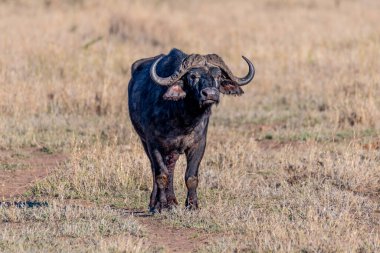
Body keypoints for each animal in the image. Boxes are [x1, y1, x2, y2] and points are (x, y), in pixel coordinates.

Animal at [127, 48, 255, 211]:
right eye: (193, 76)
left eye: (218, 76)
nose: (210, 94)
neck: (182, 118)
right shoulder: (153, 144)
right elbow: (161, 175)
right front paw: (160, 205)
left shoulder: (198, 144)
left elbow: (191, 176)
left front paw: (192, 205)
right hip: (145, 142)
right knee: (156, 169)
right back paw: (155, 203)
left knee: (171, 168)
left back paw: (172, 201)